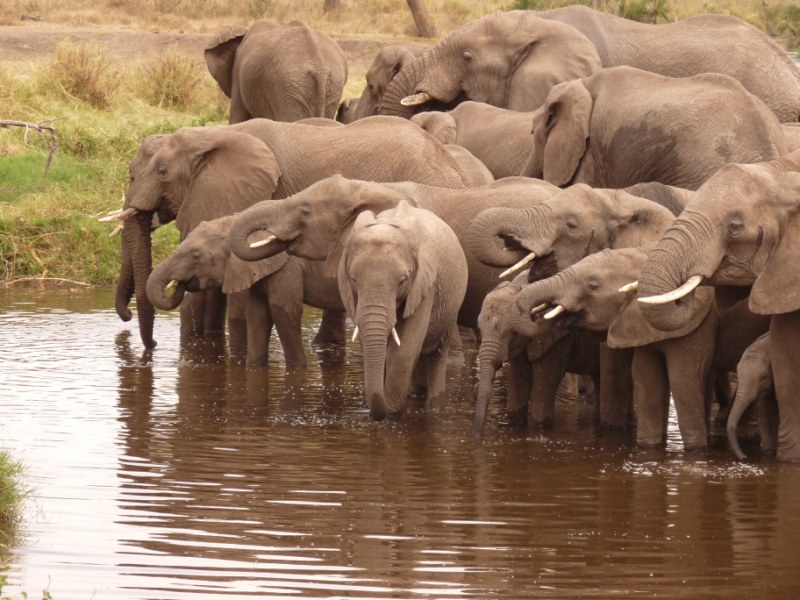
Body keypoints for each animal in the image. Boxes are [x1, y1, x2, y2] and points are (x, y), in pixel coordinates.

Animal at [146, 214, 345, 369]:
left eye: (196, 255)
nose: (181, 283)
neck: (235, 222)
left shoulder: (287, 267)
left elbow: (284, 312)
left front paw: (297, 369)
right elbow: (257, 315)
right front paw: (253, 367)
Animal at [516, 247, 769, 453]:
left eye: (593, 285)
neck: (645, 260)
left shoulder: (698, 323)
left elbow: (684, 379)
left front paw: (696, 452)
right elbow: (647, 379)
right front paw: (649, 448)